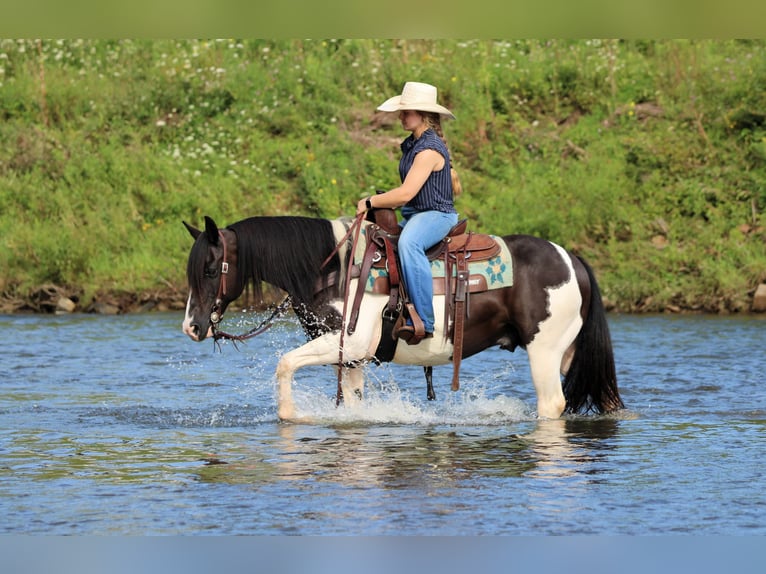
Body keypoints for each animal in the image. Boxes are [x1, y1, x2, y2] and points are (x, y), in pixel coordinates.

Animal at [181, 214, 624, 422]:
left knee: (551, 403)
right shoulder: (350, 359)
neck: (334, 270)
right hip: (568, 352)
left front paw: (291, 415)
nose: (192, 327)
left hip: (544, 351)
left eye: (210, 269)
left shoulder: (348, 343)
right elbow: (353, 405)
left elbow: (285, 363)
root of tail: (571, 258)